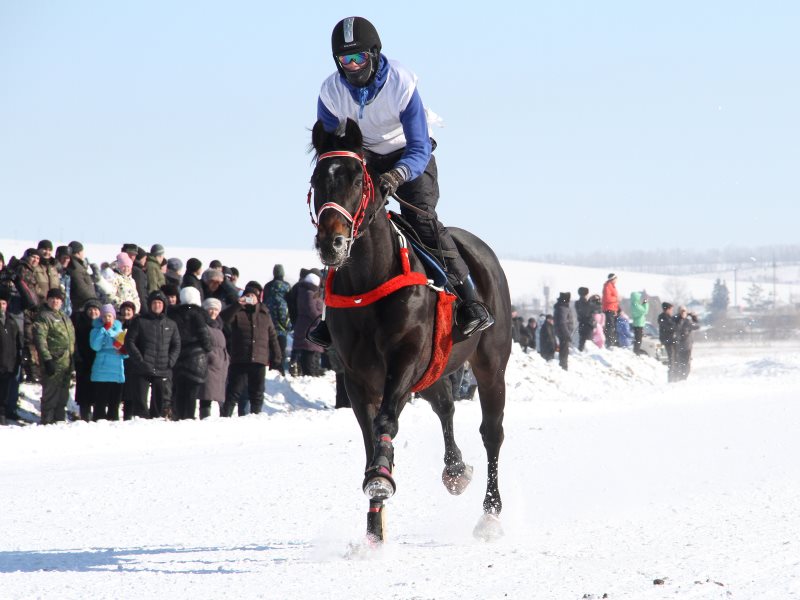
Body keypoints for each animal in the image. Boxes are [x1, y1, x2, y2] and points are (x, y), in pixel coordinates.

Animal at [308, 118, 512, 544]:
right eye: (318, 178)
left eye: (358, 178)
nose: (331, 242)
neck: (369, 279)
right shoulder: (356, 376)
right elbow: (371, 436)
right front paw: (374, 528)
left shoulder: (403, 358)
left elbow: (386, 422)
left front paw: (380, 481)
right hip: (433, 368)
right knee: (445, 405)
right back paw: (455, 471)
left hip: (490, 363)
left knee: (492, 431)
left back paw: (490, 515)